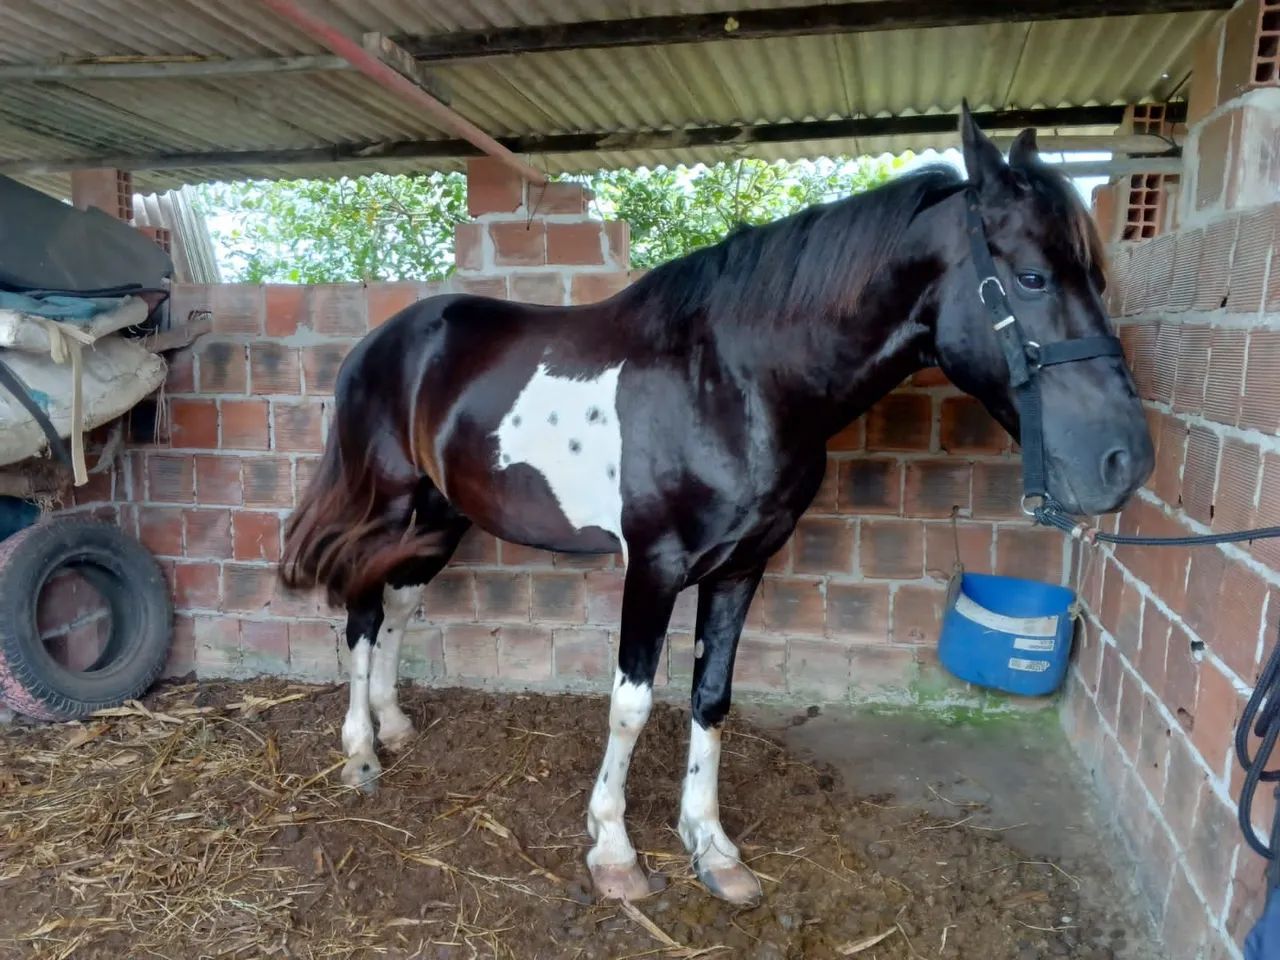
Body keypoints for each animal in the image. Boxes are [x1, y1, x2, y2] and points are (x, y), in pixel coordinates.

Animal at [279, 105, 1154, 906]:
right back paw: (360, 753)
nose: (1125, 460)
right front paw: (614, 852)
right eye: (1033, 277)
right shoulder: (654, 567)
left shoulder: (741, 567)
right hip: (390, 510)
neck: (735, 378)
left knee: (398, 609)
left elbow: (712, 698)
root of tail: (379, 344)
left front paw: (712, 847)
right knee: (362, 612)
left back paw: (393, 726)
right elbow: (631, 705)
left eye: (1096, 278)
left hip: (441, 519)